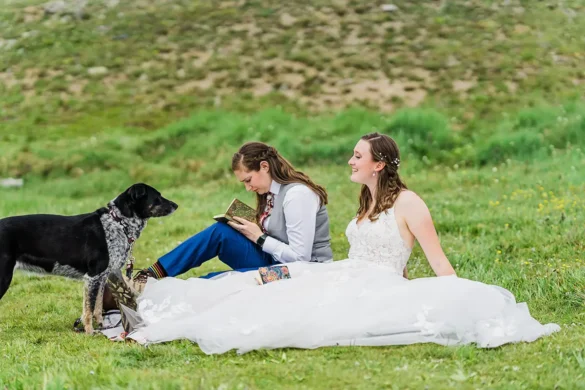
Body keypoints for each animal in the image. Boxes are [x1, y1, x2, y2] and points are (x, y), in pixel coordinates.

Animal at [0, 183, 178, 332]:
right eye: (157, 197)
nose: (176, 205)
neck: (118, 223)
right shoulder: (93, 277)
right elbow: (89, 309)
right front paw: (90, 332)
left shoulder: (102, 277)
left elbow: (97, 307)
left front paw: (102, 326)